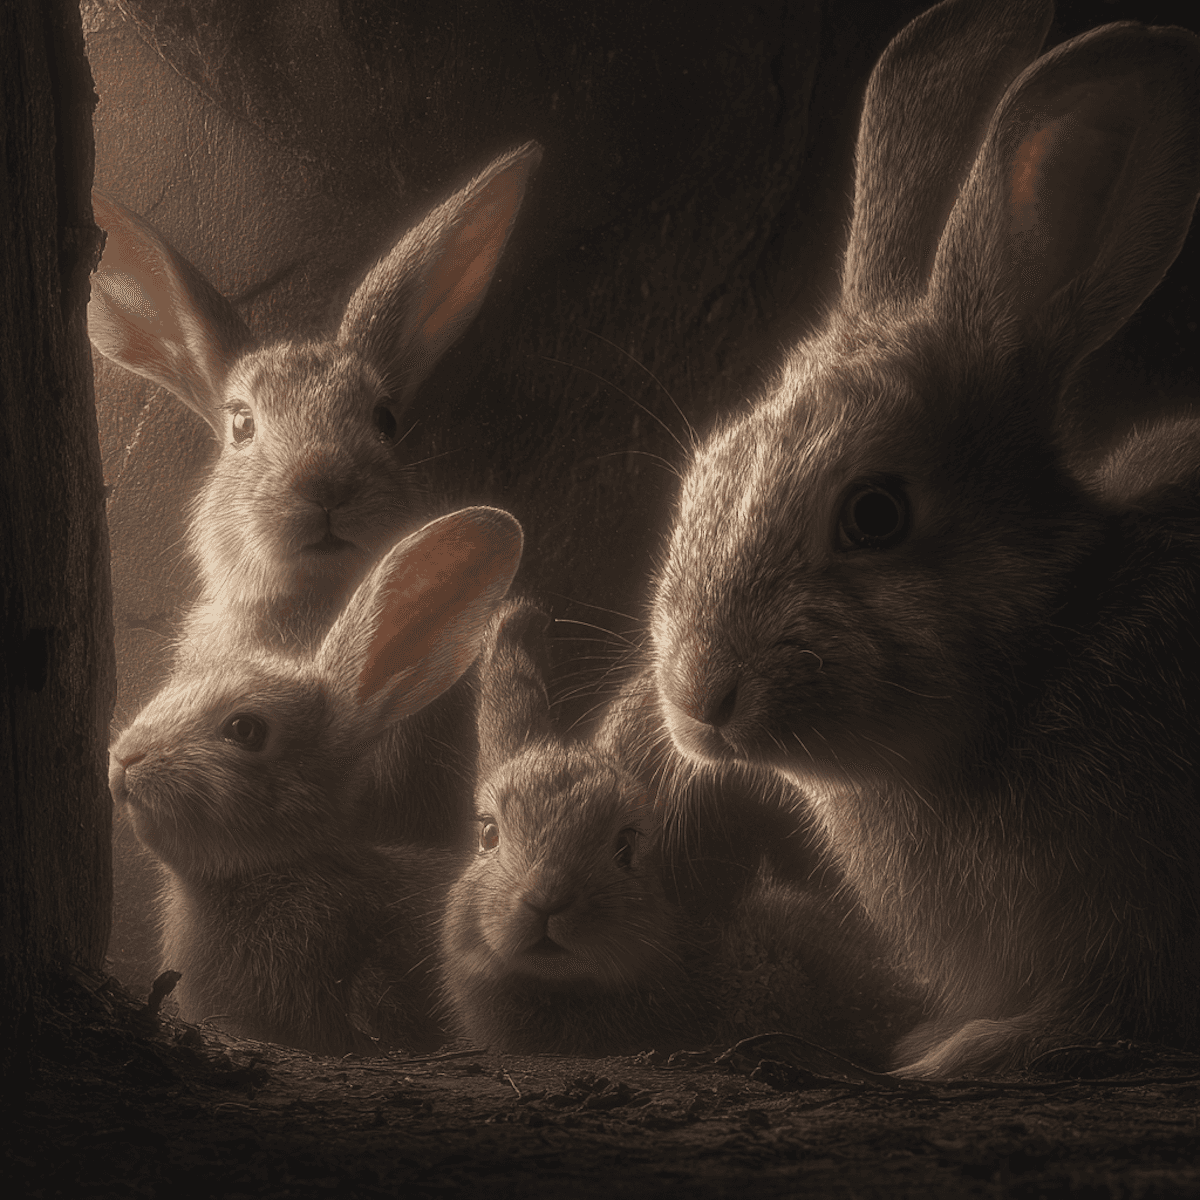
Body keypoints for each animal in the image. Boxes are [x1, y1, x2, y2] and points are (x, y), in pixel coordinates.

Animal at [647, 0, 1200, 1078]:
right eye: (708, 472)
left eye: (875, 515)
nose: (698, 696)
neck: (1049, 641)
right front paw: (933, 1036)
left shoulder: (1140, 915)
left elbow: (1109, 1014)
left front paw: (963, 1051)